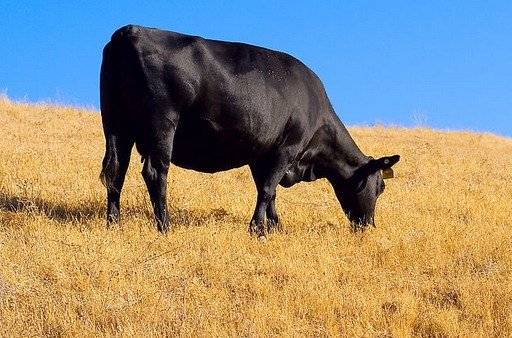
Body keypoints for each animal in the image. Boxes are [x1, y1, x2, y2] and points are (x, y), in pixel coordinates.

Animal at [100, 25, 400, 235]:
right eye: (381, 186)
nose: (368, 225)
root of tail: (129, 31)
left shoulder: (262, 153)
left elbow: (270, 191)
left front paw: (275, 226)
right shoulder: (287, 146)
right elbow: (267, 189)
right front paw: (257, 228)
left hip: (117, 124)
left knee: (117, 172)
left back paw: (114, 223)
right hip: (161, 123)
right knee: (155, 172)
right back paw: (165, 225)